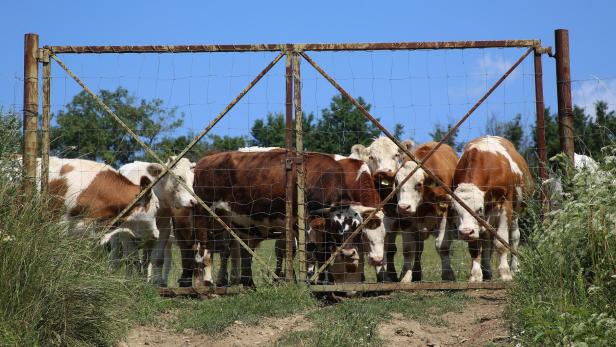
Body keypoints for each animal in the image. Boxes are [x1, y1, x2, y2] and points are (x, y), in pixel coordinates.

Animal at [394, 141, 458, 282]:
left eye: (418, 184)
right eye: (397, 183)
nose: (403, 207)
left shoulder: (444, 214)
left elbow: (442, 246)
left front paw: (448, 274)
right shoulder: (406, 221)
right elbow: (408, 250)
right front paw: (406, 277)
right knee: (418, 249)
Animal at [450, 136, 532, 282]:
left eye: (479, 209)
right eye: (454, 210)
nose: (465, 232)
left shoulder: (505, 207)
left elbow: (501, 243)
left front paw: (505, 273)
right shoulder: (475, 227)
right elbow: (475, 247)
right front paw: (476, 275)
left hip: (516, 212)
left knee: (515, 237)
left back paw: (514, 268)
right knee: (487, 242)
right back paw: (487, 271)